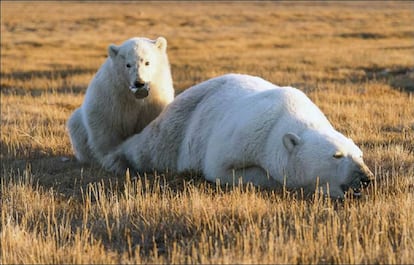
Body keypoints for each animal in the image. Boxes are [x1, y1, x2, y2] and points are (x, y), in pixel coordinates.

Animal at [67, 36, 174, 164]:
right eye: (128, 65)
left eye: (147, 62)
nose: (139, 82)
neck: (132, 96)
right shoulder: (112, 96)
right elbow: (105, 126)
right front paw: (111, 157)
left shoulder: (154, 98)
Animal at [104, 73, 376, 197]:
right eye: (337, 155)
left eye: (360, 154)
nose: (366, 178)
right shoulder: (246, 134)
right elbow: (223, 168)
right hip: (181, 123)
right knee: (150, 147)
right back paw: (116, 159)